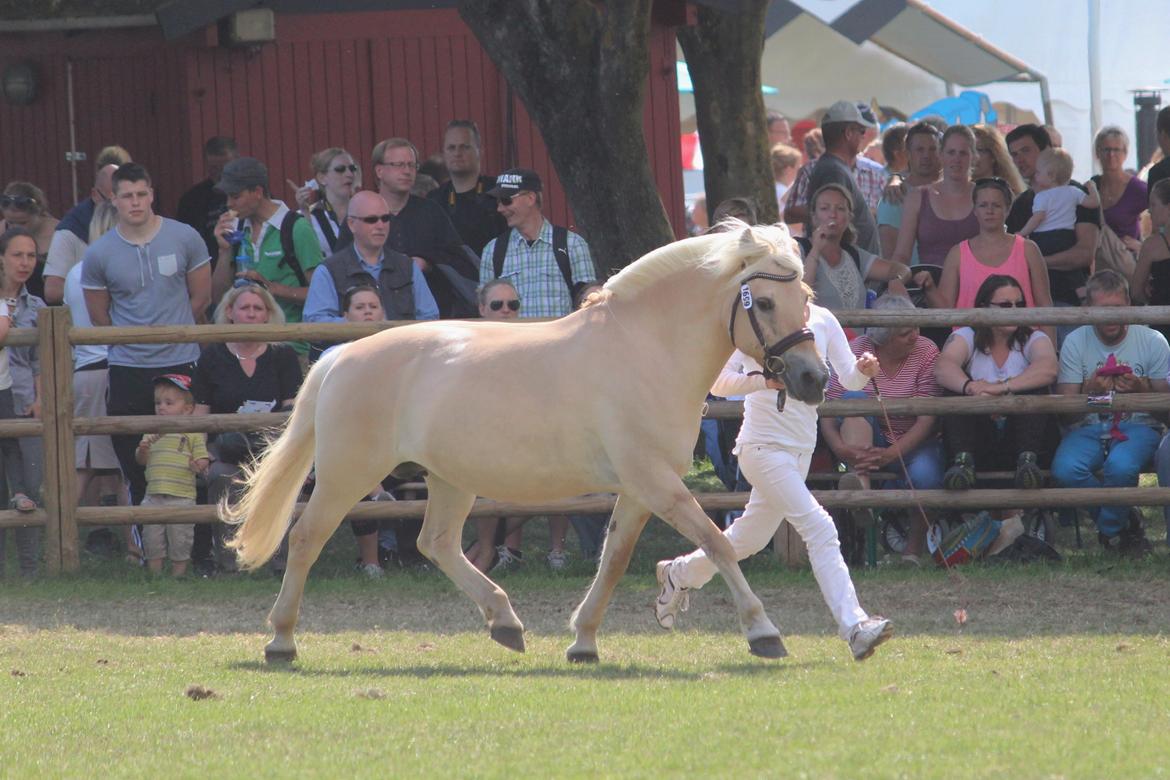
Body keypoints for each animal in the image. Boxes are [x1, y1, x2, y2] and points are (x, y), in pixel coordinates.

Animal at [223, 221, 828, 664]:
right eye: (765, 303)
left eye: (805, 296)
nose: (813, 379)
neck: (644, 349)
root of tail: (339, 357)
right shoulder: (655, 482)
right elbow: (717, 542)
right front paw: (764, 633)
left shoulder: (639, 488)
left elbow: (614, 558)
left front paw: (582, 641)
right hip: (350, 473)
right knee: (306, 539)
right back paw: (281, 642)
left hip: (450, 479)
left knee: (436, 543)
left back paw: (506, 623)